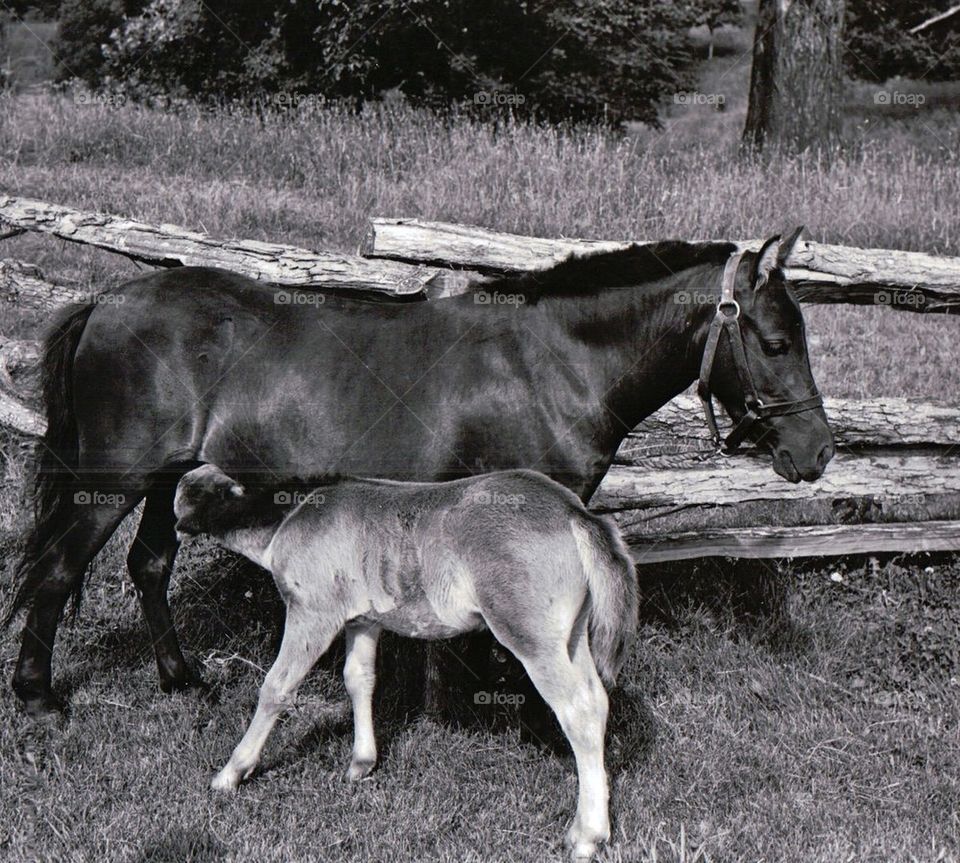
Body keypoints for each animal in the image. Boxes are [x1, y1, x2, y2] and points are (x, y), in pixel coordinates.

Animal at [7, 229, 834, 718]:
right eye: (775, 339)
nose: (818, 451)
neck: (548, 362)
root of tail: (106, 302)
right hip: (115, 478)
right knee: (57, 569)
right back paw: (38, 695)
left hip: (159, 478)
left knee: (149, 564)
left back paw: (182, 678)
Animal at [172, 463, 638, 859]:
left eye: (185, 494)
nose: (175, 527)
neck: (287, 518)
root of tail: (577, 513)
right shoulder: (363, 619)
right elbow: (358, 677)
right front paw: (361, 762)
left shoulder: (313, 612)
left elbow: (277, 686)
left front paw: (231, 772)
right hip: (571, 634)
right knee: (597, 700)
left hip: (529, 631)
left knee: (578, 709)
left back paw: (587, 834)